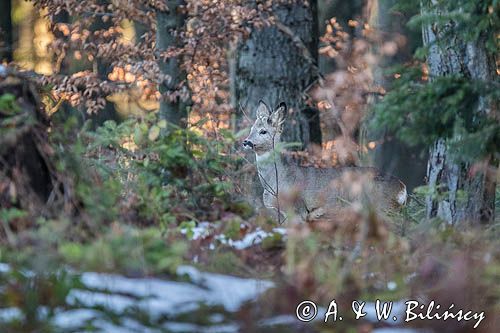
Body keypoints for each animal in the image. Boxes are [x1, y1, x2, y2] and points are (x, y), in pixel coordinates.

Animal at [241, 100, 406, 222]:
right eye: (251, 129)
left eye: (263, 131)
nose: (246, 142)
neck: (277, 181)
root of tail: (402, 187)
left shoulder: (298, 210)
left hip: (383, 206)